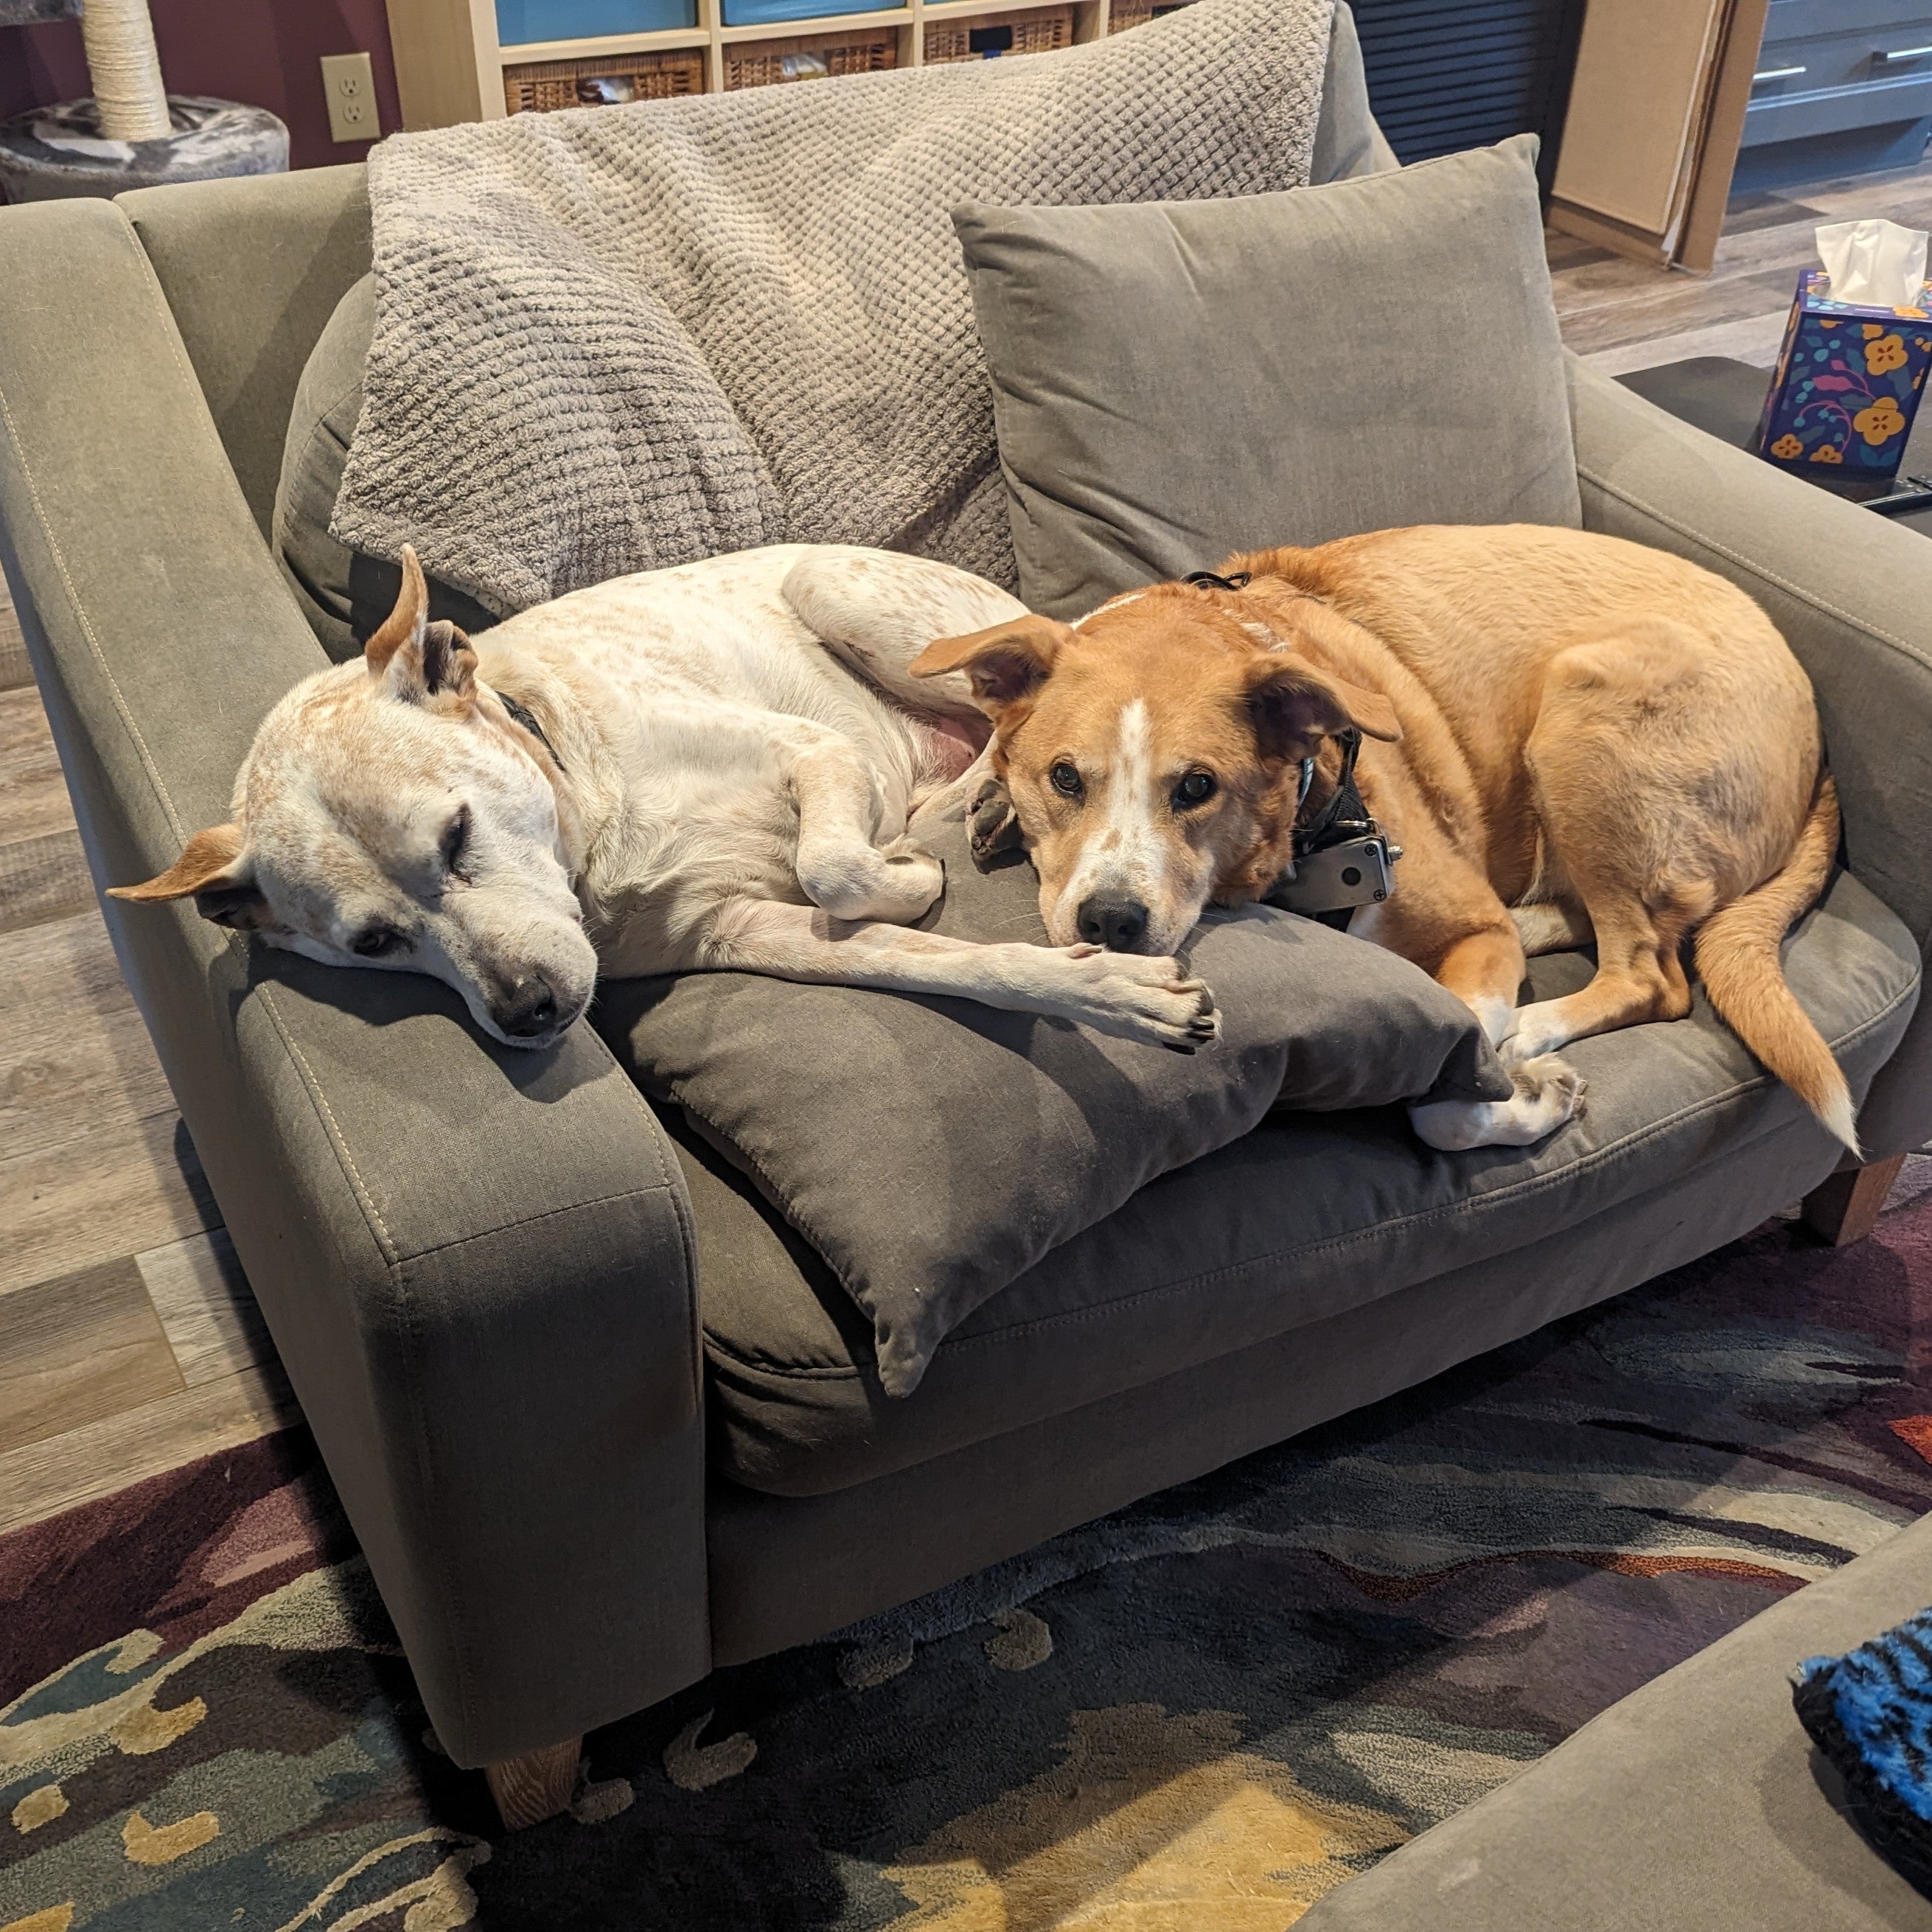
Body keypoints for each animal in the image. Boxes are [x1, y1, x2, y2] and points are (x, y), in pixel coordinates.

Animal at [110, 544, 1220, 1055]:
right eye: (373, 943)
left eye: (457, 833)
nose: (529, 1012)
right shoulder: (745, 930)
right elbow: (948, 959)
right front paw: (1107, 987)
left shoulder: (813, 751)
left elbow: (834, 862)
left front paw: (909, 879)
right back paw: (972, 808)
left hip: (840, 591)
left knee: (1021, 714)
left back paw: (985, 792)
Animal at [910, 523, 1849, 1155]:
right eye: (1065, 777)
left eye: (1196, 787)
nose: (1108, 922)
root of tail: (1819, 752)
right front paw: (986, 802)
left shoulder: (1469, 933)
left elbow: (1445, 1091)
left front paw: (1527, 1090)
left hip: (1584, 721)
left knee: (1651, 974)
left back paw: (1533, 1025)